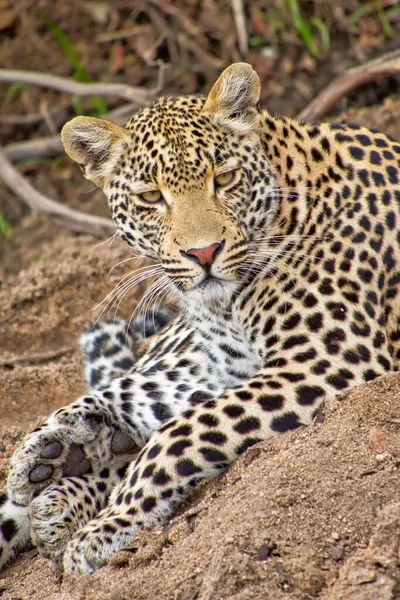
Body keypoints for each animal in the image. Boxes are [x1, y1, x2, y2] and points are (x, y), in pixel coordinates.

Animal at [0, 63, 400, 576]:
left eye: (225, 178)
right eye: (151, 196)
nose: (204, 252)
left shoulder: (326, 359)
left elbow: (178, 433)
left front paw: (106, 527)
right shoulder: (227, 366)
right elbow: (149, 400)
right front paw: (53, 443)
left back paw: (61, 499)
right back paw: (52, 465)